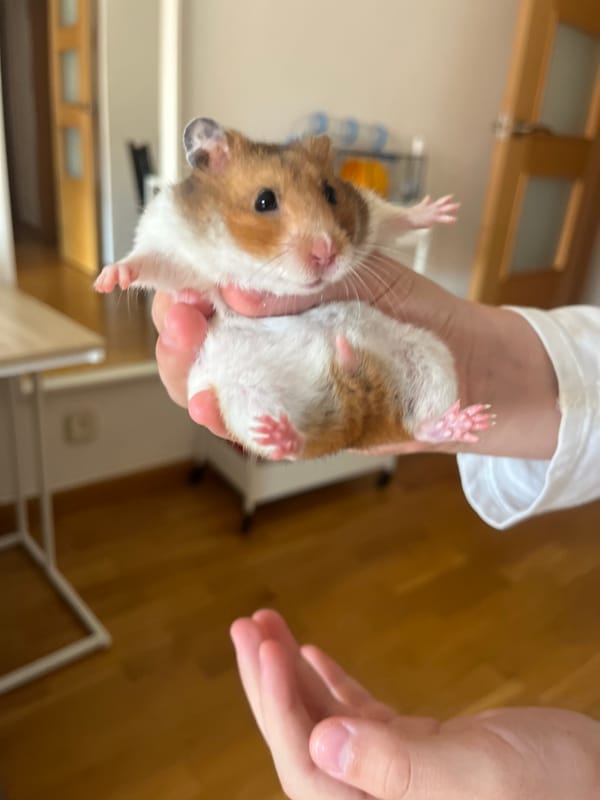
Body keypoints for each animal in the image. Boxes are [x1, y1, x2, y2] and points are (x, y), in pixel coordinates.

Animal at [95, 117, 492, 460]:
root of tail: (361, 406)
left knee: (416, 425)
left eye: (331, 193)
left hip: (429, 356)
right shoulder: (171, 239)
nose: (328, 252)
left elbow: (390, 217)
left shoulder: (367, 215)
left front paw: (440, 210)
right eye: (264, 200)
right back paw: (283, 435)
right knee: (299, 443)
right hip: (243, 394)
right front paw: (107, 279)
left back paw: (464, 422)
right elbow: (149, 262)